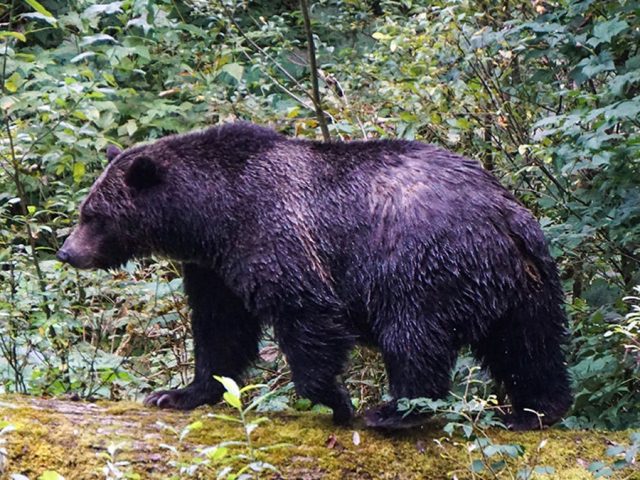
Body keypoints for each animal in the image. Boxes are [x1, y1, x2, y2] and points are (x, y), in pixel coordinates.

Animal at [57, 122, 572, 430]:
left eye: (94, 215)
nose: (67, 252)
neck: (211, 216)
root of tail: (505, 213)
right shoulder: (214, 269)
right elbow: (221, 332)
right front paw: (178, 393)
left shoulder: (274, 234)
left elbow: (305, 313)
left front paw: (336, 401)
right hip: (525, 282)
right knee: (530, 346)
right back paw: (535, 411)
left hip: (422, 265)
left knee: (414, 337)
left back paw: (392, 410)